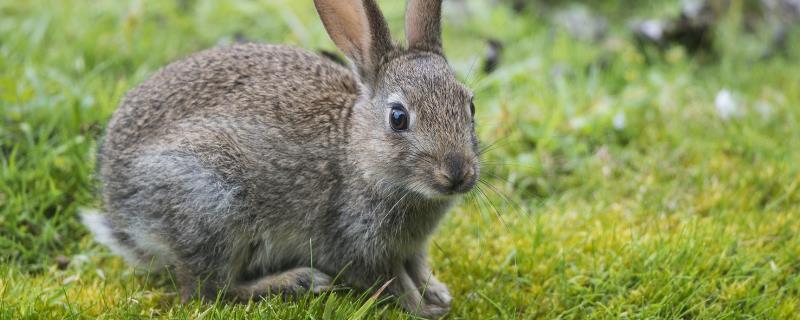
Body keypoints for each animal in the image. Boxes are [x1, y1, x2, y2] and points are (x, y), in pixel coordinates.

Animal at [82, 0, 478, 318]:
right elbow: (391, 282)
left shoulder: (413, 248)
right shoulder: (357, 244)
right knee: (209, 291)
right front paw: (424, 308)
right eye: (398, 118)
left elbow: (418, 269)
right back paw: (297, 281)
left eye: (470, 105)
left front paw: (438, 293)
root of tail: (120, 207)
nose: (457, 172)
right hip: (211, 202)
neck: (356, 152)